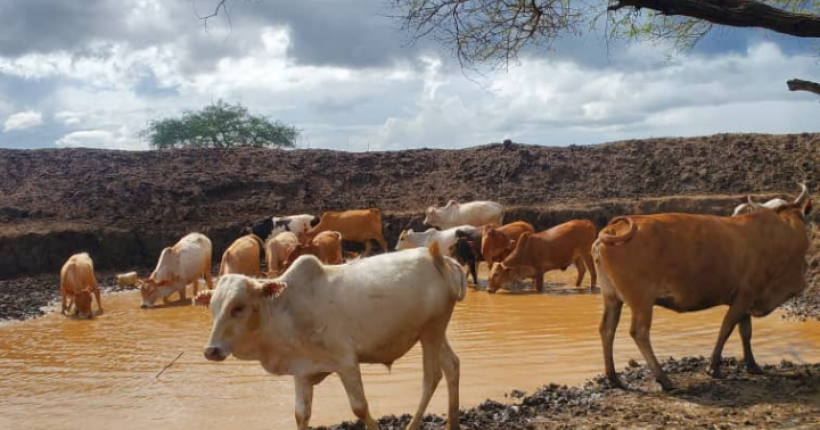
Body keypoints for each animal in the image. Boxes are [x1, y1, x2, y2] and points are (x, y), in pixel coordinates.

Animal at [194, 241, 466, 430]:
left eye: (238, 307)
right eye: (213, 307)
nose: (211, 350)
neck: (283, 309)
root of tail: (441, 259)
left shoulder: (346, 362)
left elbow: (359, 407)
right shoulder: (302, 372)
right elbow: (301, 414)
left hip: (432, 330)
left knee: (431, 377)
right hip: (432, 332)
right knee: (452, 366)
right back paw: (452, 424)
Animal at [593, 199, 813, 391]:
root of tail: (613, 229)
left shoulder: (746, 296)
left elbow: (745, 332)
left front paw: (752, 365)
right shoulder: (745, 295)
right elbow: (726, 328)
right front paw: (713, 368)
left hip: (612, 297)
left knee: (607, 329)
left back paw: (614, 378)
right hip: (642, 301)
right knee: (639, 332)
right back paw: (664, 379)